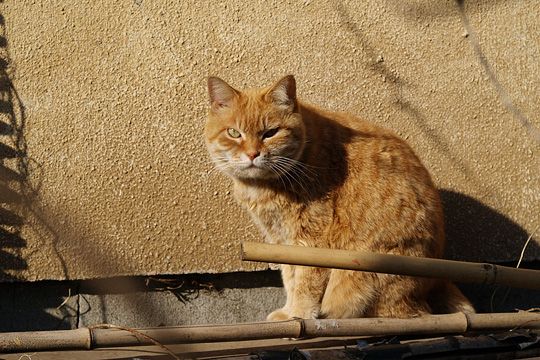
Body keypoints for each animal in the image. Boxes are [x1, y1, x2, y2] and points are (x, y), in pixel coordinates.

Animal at [205, 74, 474, 320]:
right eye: (234, 133)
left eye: (270, 133)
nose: (252, 154)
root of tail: (437, 275)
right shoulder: (280, 240)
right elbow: (289, 276)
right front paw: (289, 312)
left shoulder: (311, 237)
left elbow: (304, 281)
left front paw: (299, 314)